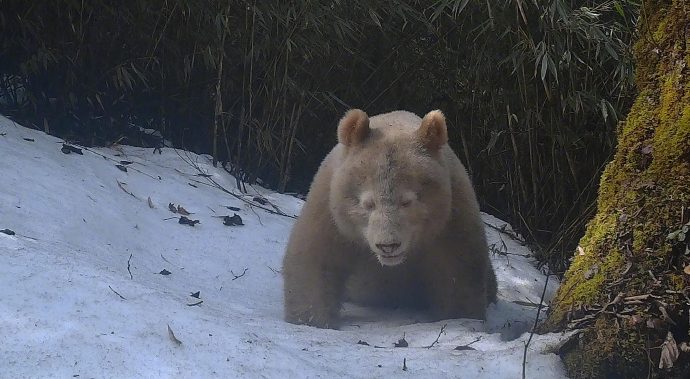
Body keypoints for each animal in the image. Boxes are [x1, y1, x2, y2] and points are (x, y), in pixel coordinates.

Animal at [280, 107, 494, 330]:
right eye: (368, 203)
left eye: (407, 202)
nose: (388, 246)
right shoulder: (330, 212)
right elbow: (314, 260)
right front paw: (312, 321)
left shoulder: (450, 220)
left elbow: (457, 273)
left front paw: (460, 318)